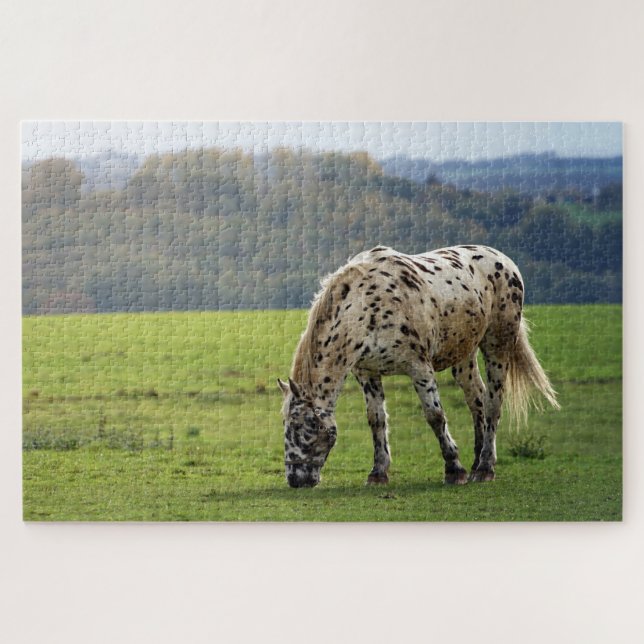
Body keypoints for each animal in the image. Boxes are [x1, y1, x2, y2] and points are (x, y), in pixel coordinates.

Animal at [278, 245, 559, 488]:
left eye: (306, 426)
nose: (295, 479)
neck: (368, 307)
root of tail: (505, 261)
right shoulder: (367, 373)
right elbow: (376, 419)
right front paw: (378, 473)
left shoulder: (419, 367)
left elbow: (435, 416)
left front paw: (454, 469)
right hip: (464, 355)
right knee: (476, 399)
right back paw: (477, 459)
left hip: (497, 346)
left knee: (493, 403)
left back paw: (484, 468)